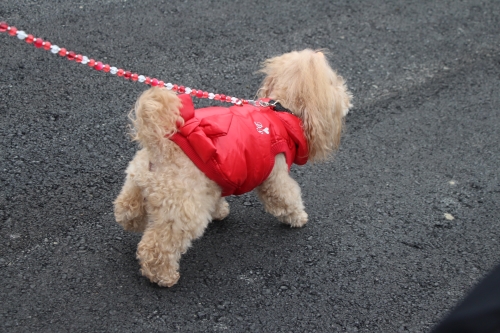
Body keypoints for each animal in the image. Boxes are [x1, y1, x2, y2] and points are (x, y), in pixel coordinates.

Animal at [113, 49, 352, 286]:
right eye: (335, 82)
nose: (348, 95)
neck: (280, 110)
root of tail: (160, 144)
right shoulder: (275, 176)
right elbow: (286, 197)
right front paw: (298, 217)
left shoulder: (215, 179)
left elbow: (218, 197)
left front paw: (220, 211)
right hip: (183, 208)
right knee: (157, 245)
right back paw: (163, 276)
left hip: (138, 183)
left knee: (127, 210)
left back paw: (135, 221)